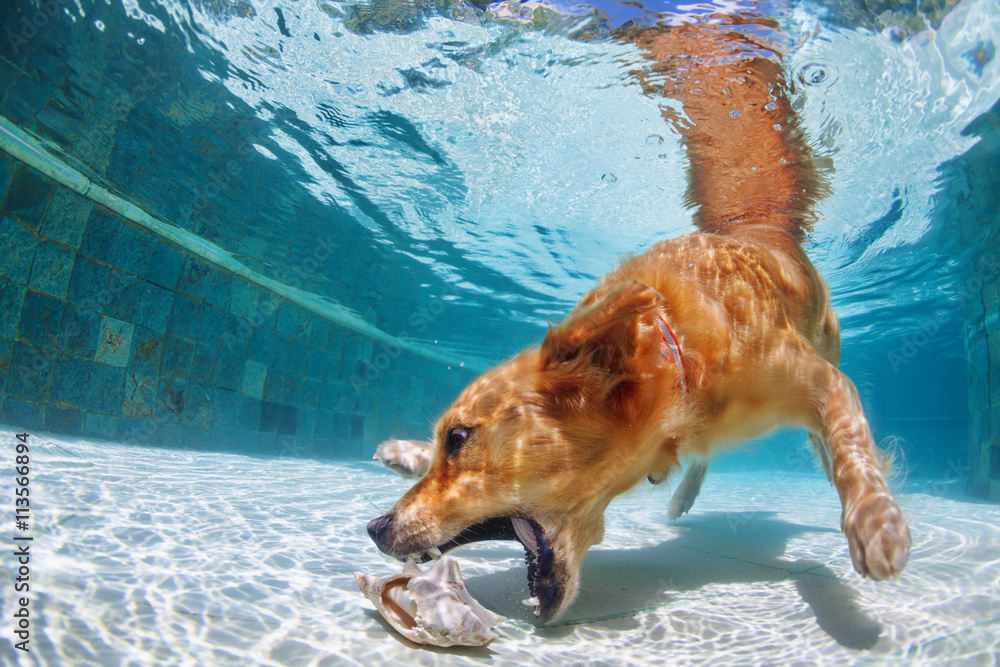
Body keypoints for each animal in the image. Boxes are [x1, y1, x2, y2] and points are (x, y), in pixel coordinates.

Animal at [366, 20, 908, 628]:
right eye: (444, 442)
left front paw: (876, 524)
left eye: (459, 439)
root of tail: (766, 228)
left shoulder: (821, 382)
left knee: (822, 436)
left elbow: (848, 438)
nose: (374, 528)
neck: (677, 361)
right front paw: (409, 453)